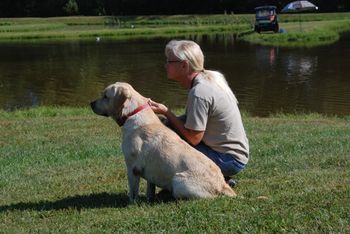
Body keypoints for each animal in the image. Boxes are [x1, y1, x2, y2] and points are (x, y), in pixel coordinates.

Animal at [90, 82, 235, 203]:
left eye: (105, 96)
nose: (91, 103)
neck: (133, 113)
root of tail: (222, 185)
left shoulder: (132, 167)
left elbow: (133, 191)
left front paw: (131, 203)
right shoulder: (150, 173)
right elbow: (150, 189)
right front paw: (148, 200)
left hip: (178, 182)